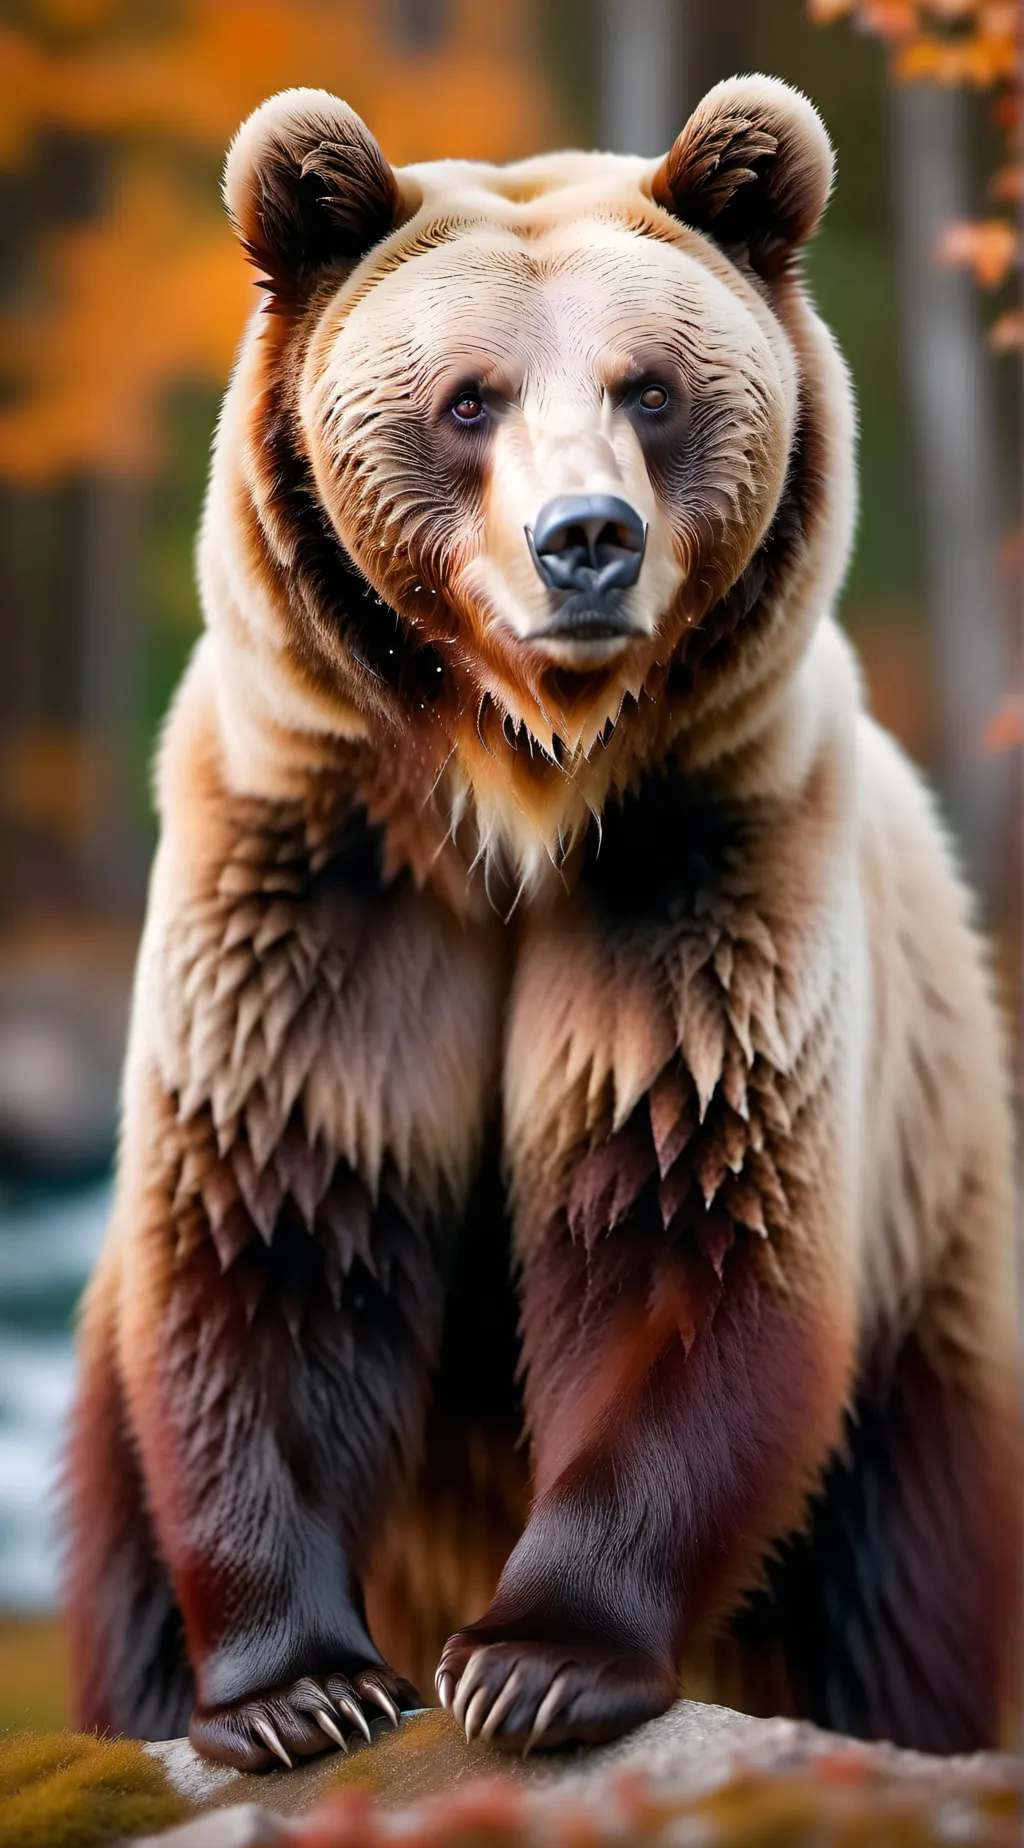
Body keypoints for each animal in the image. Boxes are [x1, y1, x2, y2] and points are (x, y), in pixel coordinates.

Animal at [64, 75, 1020, 1770]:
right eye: (467, 400)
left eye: (650, 388)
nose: (587, 538)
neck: (515, 797)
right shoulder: (314, 889)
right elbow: (275, 1225)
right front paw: (302, 1690)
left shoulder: (711, 869)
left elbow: (688, 1216)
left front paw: (534, 1664)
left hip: (933, 1297)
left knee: (892, 1594)